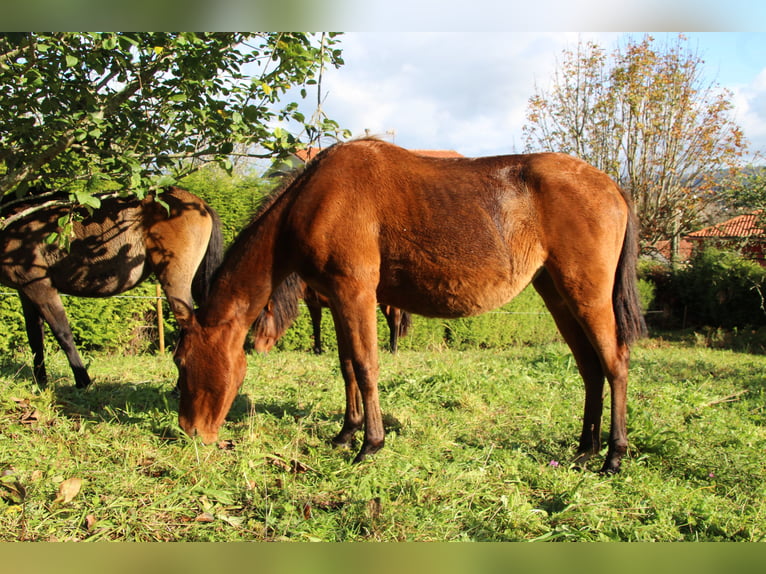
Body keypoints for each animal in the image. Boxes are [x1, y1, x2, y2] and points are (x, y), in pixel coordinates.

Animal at [0, 187, 224, 390]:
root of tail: (199, 204)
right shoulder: (25, 290)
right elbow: (35, 337)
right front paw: (41, 382)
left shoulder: (40, 287)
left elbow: (62, 333)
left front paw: (83, 381)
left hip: (176, 282)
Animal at [252, 278, 412, 356]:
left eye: (262, 327)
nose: (257, 352)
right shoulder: (313, 303)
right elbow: (316, 325)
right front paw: (317, 351)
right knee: (391, 323)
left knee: (395, 321)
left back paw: (393, 349)